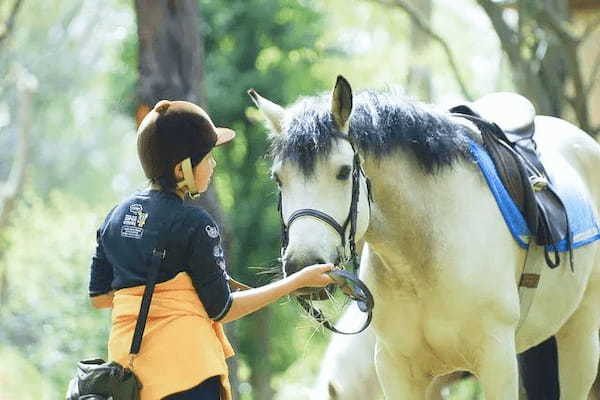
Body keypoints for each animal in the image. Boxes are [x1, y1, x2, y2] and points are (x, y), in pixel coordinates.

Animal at [251, 76, 600, 400]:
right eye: (278, 178)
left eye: (342, 171)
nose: (303, 265)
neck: (422, 258)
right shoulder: (399, 370)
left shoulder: (496, 360)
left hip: (579, 336)